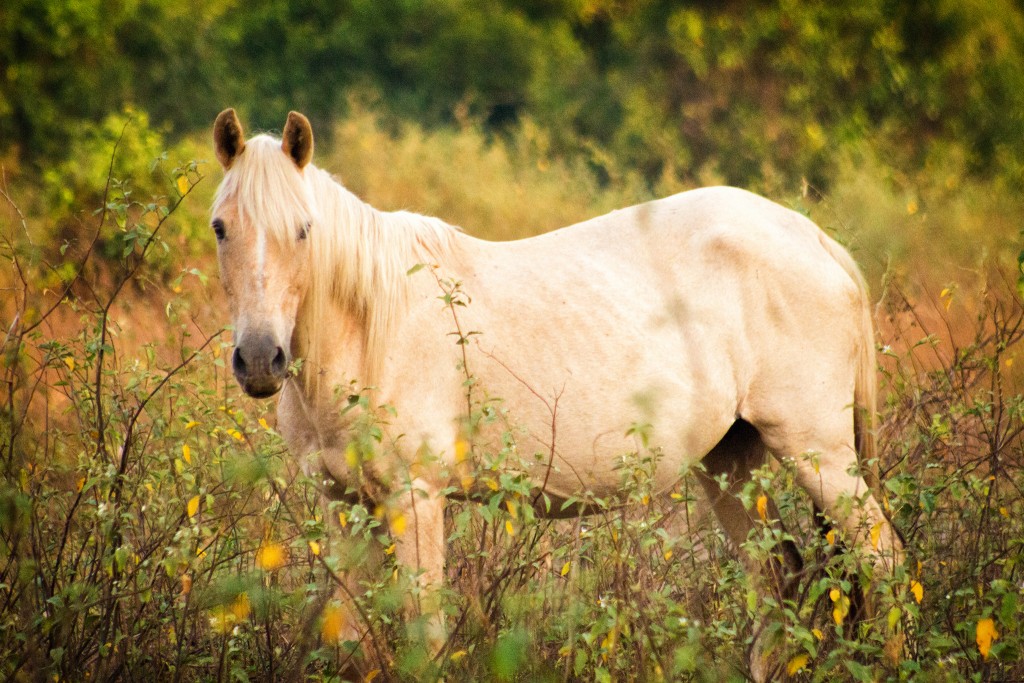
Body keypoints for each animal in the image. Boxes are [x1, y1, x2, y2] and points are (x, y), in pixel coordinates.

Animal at [209, 109, 905, 675]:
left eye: (304, 229)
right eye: (220, 228)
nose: (261, 360)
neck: (369, 327)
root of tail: (815, 240)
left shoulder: (416, 497)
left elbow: (423, 635)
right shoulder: (344, 503)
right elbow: (351, 640)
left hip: (818, 452)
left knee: (884, 561)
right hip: (731, 460)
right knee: (778, 577)